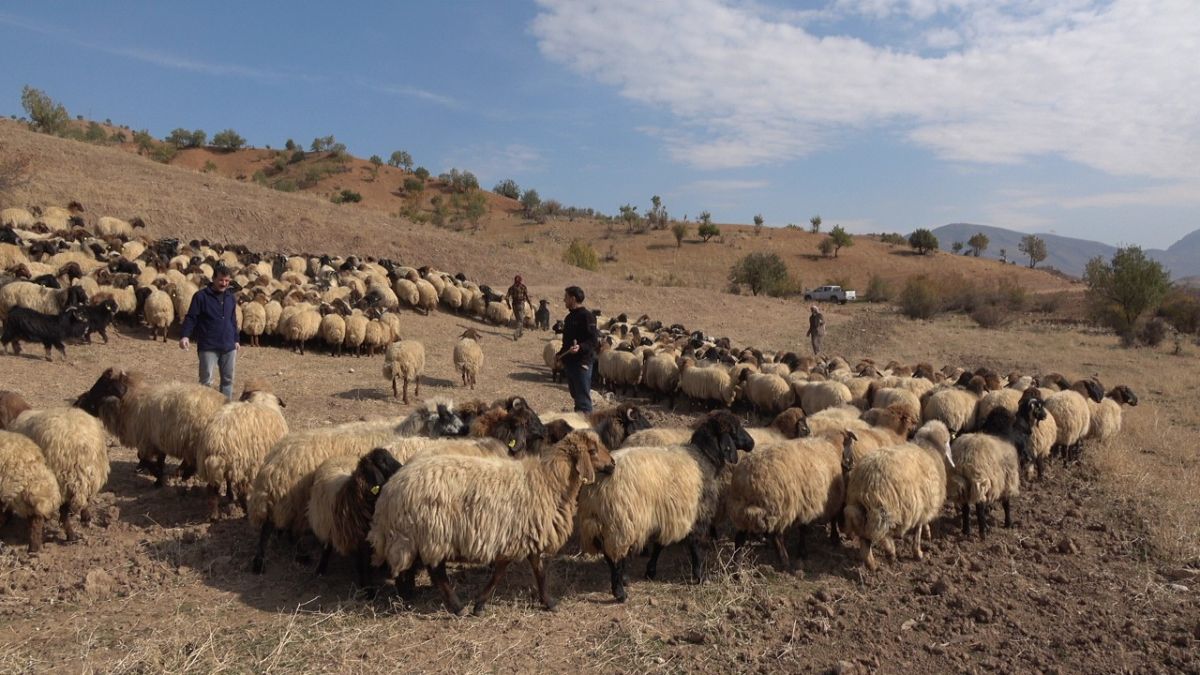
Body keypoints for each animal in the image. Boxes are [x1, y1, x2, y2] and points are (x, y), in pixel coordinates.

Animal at [0, 389, 108, 540]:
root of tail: (79, 446)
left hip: (62, 479)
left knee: (64, 511)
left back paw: (71, 534)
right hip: (86, 476)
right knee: (83, 500)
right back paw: (84, 519)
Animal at [198, 381, 291, 516]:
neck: (263, 401)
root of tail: (216, 439)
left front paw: (230, 496)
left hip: (220, 464)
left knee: (213, 489)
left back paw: (214, 514)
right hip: (244, 465)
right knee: (242, 491)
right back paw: (245, 511)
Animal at [576, 410, 753, 598]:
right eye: (735, 429)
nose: (751, 443)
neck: (703, 457)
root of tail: (596, 486)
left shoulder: (667, 515)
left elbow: (659, 545)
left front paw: (650, 571)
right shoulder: (695, 512)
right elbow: (695, 546)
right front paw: (700, 576)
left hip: (603, 523)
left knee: (611, 554)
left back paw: (623, 579)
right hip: (620, 521)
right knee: (615, 557)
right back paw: (619, 592)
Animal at [840, 420, 950, 566]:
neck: (929, 448)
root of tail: (865, 479)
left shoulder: (922, 505)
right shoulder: (923, 506)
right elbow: (918, 530)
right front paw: (918, 553)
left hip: (859, 505)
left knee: (863, 534)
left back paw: (872, 564)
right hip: (883, 508)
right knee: (879, 533)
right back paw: (890, 551)